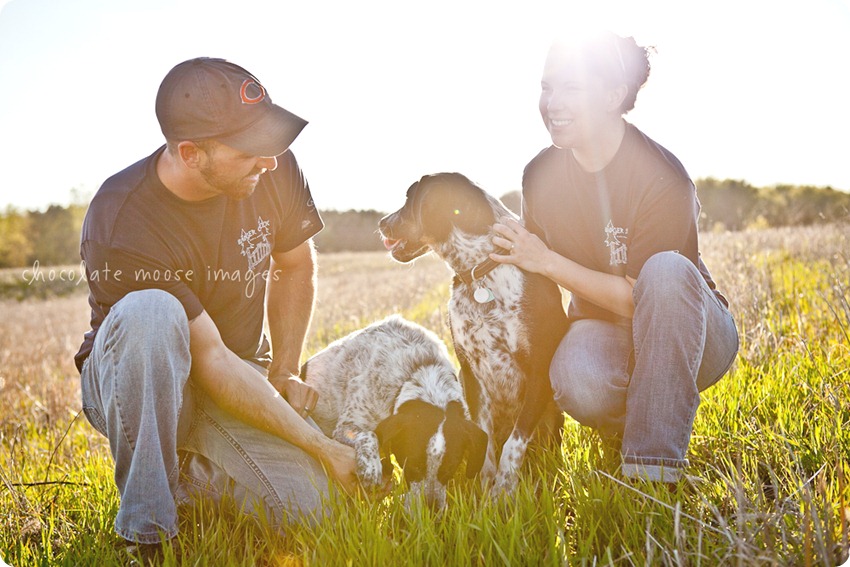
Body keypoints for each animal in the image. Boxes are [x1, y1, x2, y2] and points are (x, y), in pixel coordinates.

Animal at [300, 316, 484, 510]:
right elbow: (370, 434)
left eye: (450, 468)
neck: (418, 369)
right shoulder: (346, 426)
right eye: (413, 466)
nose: (431, 510)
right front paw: (371, 468)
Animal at [380, 173, 568, 496]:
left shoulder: (538, 369)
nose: (381, 223)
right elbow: (485, 440)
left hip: (552, 413)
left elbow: (514, 444)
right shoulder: (471, 371)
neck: (480, 270)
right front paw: (485, 487)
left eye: (408, 198)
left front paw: (503, 492)